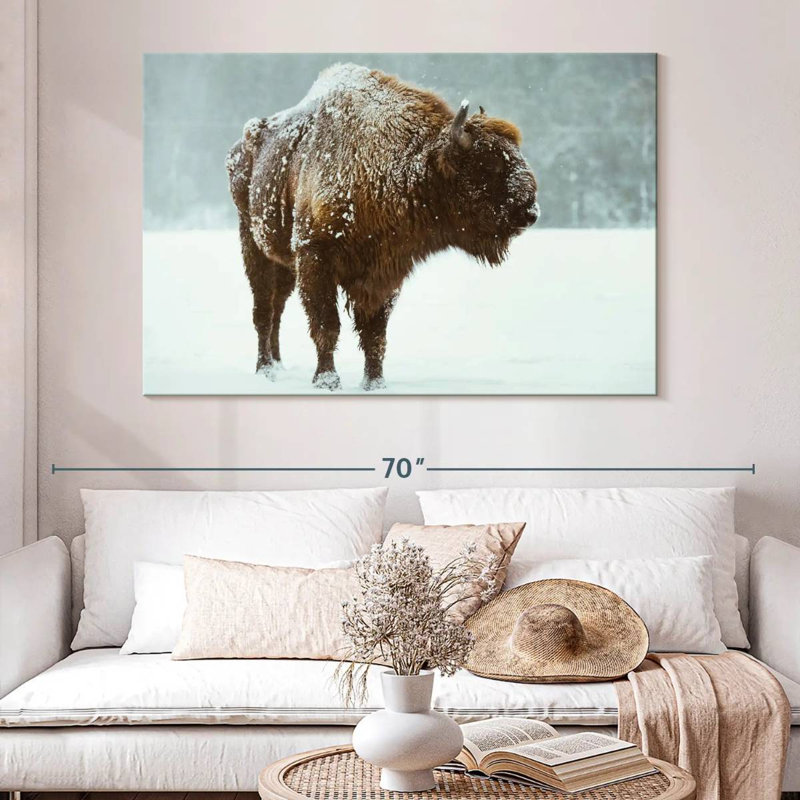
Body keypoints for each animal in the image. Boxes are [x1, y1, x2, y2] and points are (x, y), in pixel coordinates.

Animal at [227, 63, 539, 391]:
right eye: (488, 164)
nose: (529, 212)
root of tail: (241, 147)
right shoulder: (315, 256)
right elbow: (326, 324)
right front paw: (327, 381)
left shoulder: (385, 270)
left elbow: (375, 332)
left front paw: (374, 383)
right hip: (253, 245)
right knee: (264, 310)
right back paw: (266, 370)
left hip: (284, 262)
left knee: (278, 308)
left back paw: (278, 365)